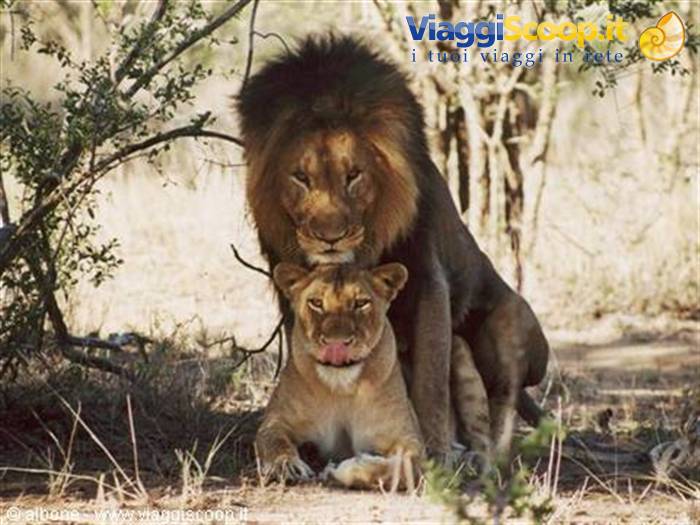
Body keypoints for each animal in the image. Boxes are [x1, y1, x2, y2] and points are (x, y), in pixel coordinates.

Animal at [238, 35, 549, 456]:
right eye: (300, 177)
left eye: (354, 175)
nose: (329, 237)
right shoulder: (291, 289)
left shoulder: (427, 277)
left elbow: (431, 381)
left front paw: (433, 451)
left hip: (509, 321)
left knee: (505, 396)